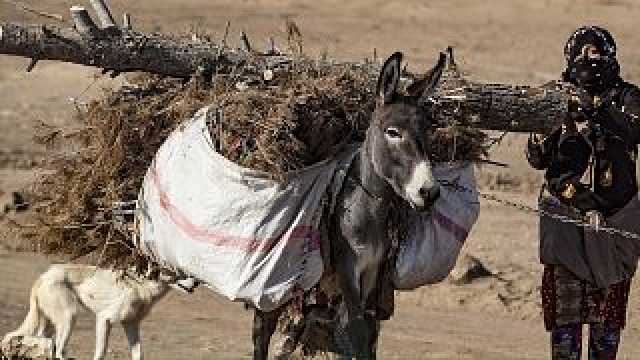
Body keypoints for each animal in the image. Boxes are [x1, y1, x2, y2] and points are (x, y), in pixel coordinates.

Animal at [1, 262, 185, 358]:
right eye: (178, 272)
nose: (192, 285)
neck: (144, 285)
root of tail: (43, 276)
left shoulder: (131, 324)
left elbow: (138, 354)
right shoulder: (104, 319)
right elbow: (101, 352)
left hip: (51, 324)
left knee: (41, 342)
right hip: (69, 317)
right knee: (58, 351)